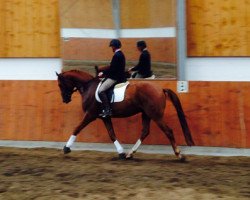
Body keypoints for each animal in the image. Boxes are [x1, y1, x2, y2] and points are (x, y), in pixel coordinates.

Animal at [56, 69, 193, 160]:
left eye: (60, 84)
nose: (65, 100)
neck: (88, 87)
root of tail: (161, 89)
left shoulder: (90, 115)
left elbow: (77, 128)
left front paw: (66, 148)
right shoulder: (105, 117)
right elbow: (112, 134)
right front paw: (121, 152)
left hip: (155, 115)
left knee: (168, 131)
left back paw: (179, 155)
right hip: (146, 114)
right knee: (145, 132)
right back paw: (129, 154)